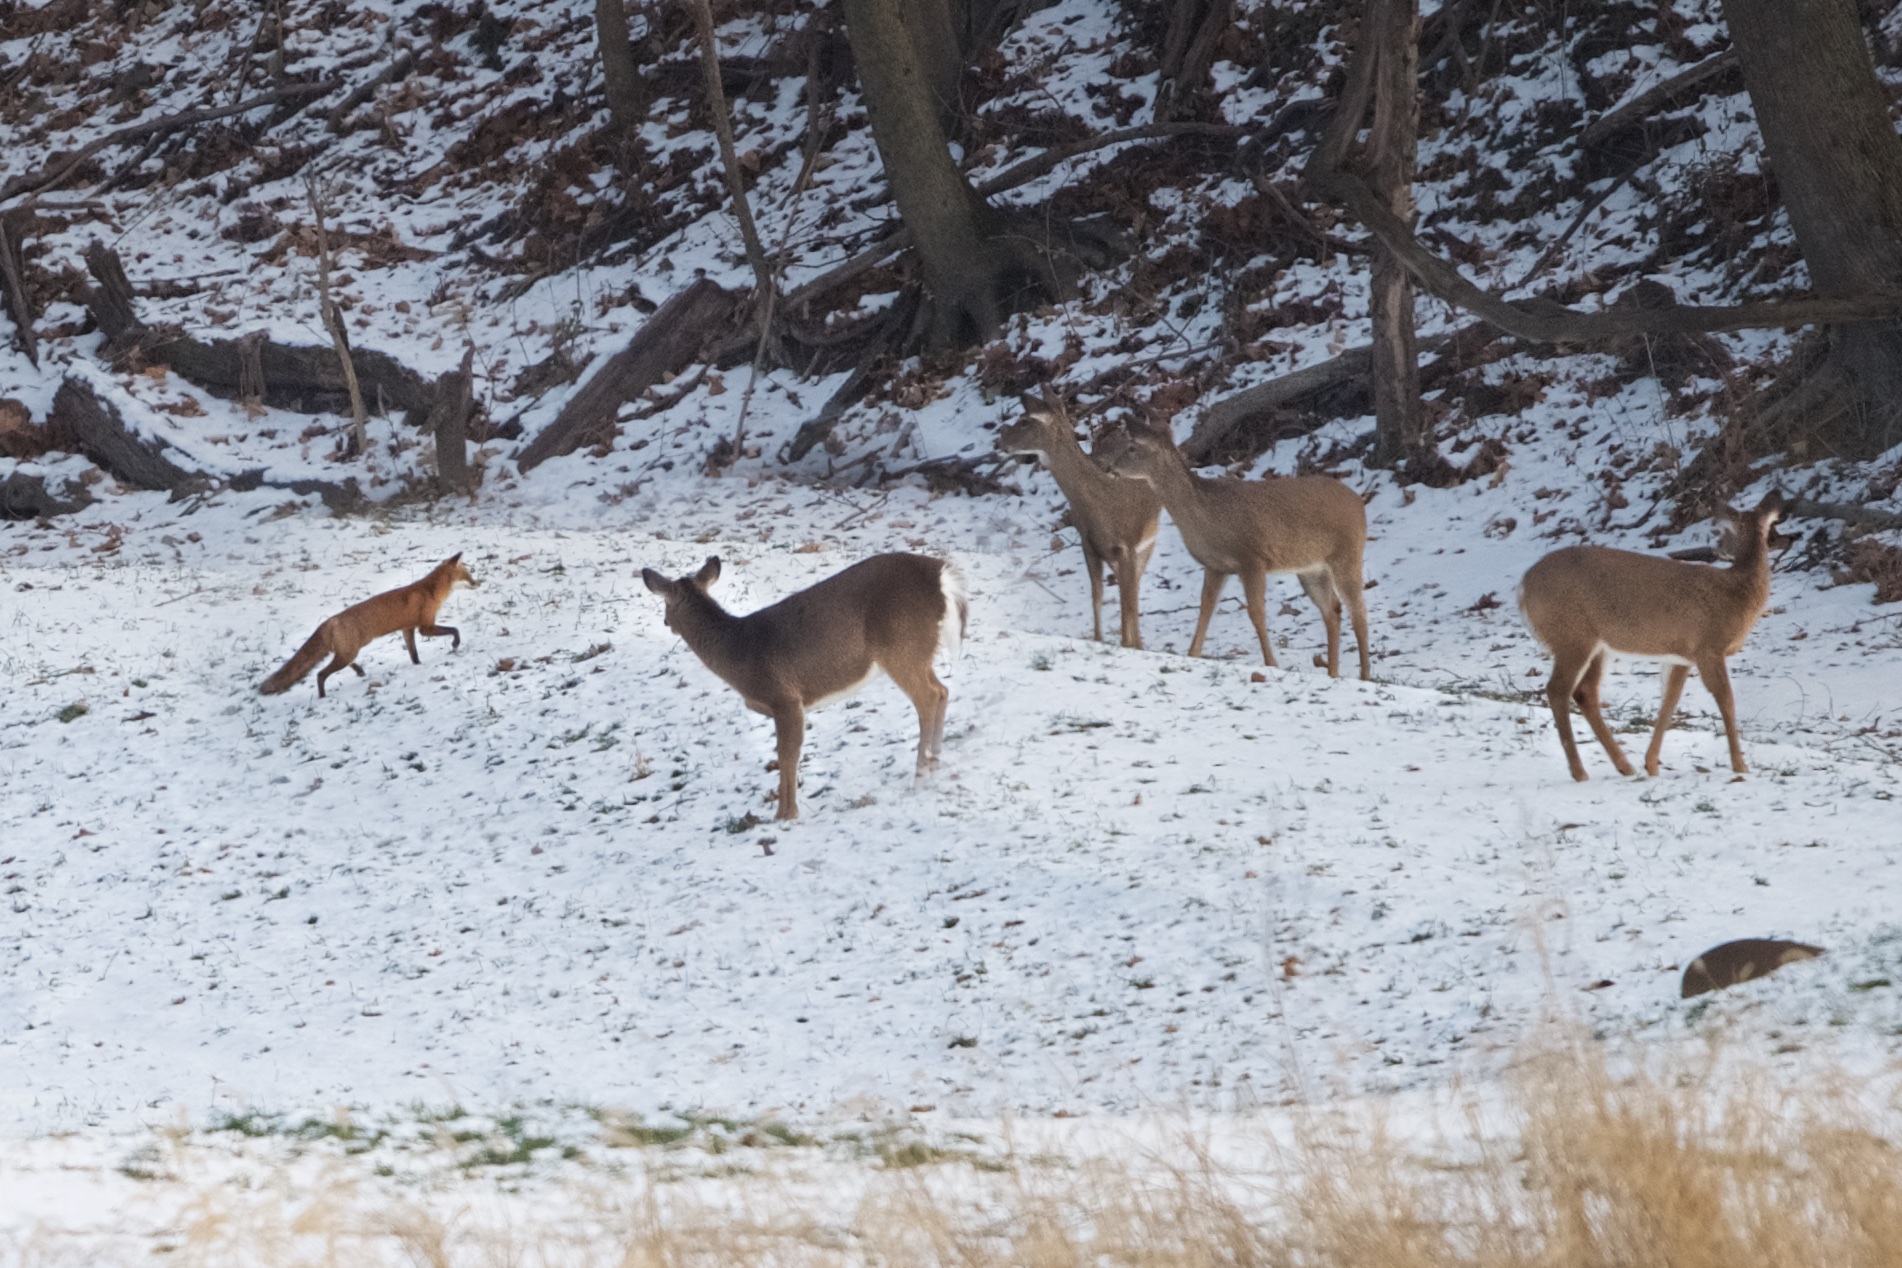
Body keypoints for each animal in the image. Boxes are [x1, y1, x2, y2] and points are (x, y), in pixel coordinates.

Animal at [259, 554, 479, 699]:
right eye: (467, 575)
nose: (478, 583)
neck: (430, 591)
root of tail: (330, 620)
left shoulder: (407, 629)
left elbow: (413, 654)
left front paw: (418, 666)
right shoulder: (425, 627)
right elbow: (454, 630)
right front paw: (455, 644)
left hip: (348, 651)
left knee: (341, 664)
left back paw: (359, 672)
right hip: (350, 651)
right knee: (321, 674)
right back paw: (323, 696)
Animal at [641, 552, 967, 820]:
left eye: (665, 603)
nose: (666, 622)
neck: (740, 653)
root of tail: (941, 576)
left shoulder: (784, 698)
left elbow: (787, 755)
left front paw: (785, 815)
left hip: (901, 647)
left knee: (928, 698)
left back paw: (920, 776)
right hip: (919, 651)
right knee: (943, 691)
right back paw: (935, 766)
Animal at [996, 392, 1161, 648]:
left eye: (1024, 421)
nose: (1000, 441)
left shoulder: (1128, 545)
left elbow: (1128, 603)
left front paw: (1131, 644)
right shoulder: (1089, 544)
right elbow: (1098, 596)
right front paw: (1100, 639)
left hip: (1148, 541)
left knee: (1133, 591)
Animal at [1097, 423, 1372, 678]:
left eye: (1132, 447)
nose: (1109, 468)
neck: (1206, 514)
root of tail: (1359, 503)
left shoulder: (1251, 558)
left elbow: (1256, 612)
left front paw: (1271, 663)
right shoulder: (1216, 565)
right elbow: (1205, 608)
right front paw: (1193, 653)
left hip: (1347, 553)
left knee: (1358, 611)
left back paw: (1365, 675)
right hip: (1311, 568)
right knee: (1332, 609)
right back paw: (1333, 672)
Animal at [1517, 490, 1788, 782]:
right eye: (1722, 530)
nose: (1718, 549)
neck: (1737, 592)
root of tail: (1522, 587)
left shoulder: (1682, 656)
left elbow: (1669, 701)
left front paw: (1652, 764)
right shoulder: (1709, 647)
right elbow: (1726, 699)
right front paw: (1740, 765)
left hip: (1597, 647)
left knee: (1584, 692)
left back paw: (1624, 766)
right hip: (1572, 637)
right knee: (1557, 689)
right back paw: (1580, 772)